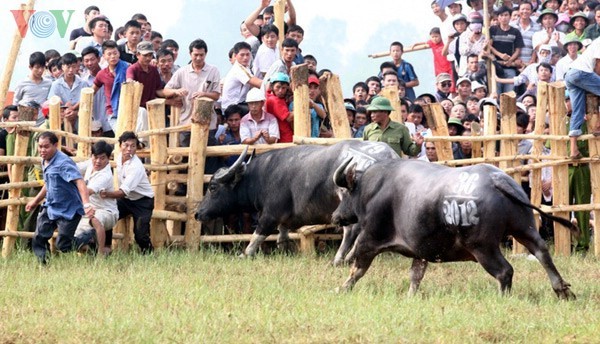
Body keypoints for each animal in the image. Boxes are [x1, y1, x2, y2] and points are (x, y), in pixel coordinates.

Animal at [196, 140, 398, 258]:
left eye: (213, 187)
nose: (198, 213)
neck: (262, 175)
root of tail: (386, 156)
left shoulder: (270, 214)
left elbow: (259, 234)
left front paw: (245, 254)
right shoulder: (284, 220)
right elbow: (282, 235)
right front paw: (285, 251)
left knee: (351, 230)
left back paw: (340, 259)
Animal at [330, 159, 580, 298]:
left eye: (346, 192)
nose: (335, 216)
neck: (372, 189)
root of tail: (496, 180)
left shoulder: (369, 239)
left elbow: (357, 269)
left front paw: (342, 288)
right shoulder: (421, 251)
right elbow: (415, 275)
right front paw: (411, 296)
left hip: (483, 246)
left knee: (504, 271)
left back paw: (503, 297)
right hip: (524, 229)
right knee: (541, 252)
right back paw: (562, 290)